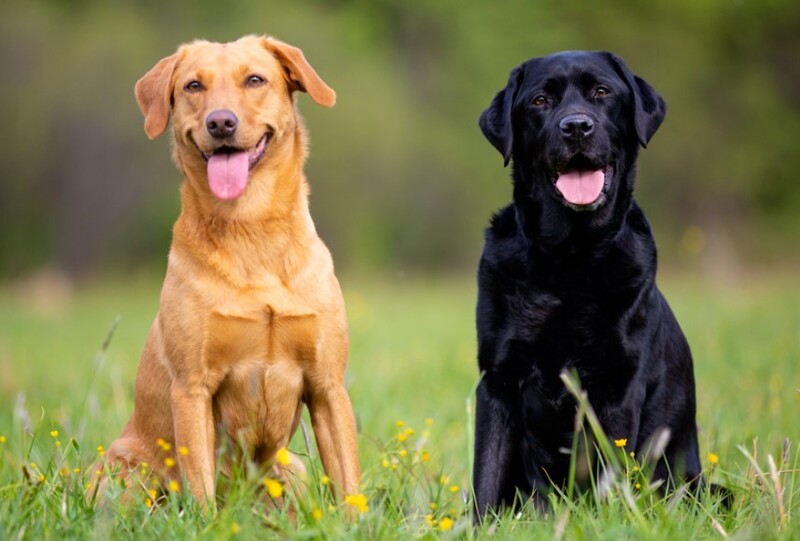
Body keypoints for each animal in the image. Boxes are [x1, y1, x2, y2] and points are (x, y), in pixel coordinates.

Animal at [99, 35, 360, 508]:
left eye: (255, 79)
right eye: (193, 85)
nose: (221, 122)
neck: (251, 228)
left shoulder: (328, 385)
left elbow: (349, 482)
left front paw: (357, 521)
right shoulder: (192, 387)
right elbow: (200, 485)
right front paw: (206, 520)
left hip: (290, 470)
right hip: (124, 471)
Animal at [476, 52, 700, 516]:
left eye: (602, 92)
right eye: (540, 101)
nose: (576, 126)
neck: (568, 260)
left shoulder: (617, 385)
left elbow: (608, 473)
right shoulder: (497, 381)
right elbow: (484, 478)